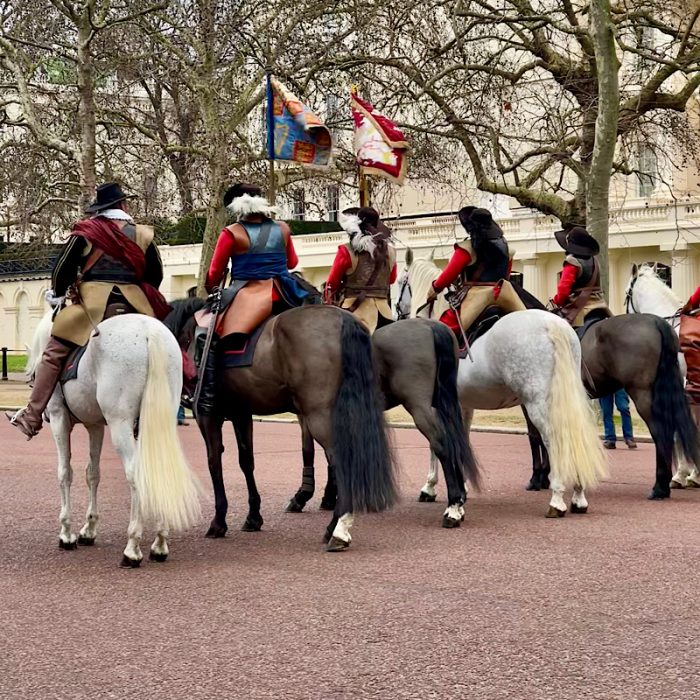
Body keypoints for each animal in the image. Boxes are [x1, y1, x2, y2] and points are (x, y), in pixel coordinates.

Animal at [26, 310, 201, 564]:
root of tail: (149, 332)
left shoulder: (59, 417)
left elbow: (65, 472)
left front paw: (66, 533)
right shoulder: (95, 425)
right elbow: (93, 473)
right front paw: (88, 529)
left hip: (120, 424)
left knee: (136, 473)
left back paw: (132, 547)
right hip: (159, 421)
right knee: (160, 469)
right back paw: (159, 542)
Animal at [165, 300, 400, 552]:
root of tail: (343, 317)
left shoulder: (207, 415)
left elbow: (213, 462)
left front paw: (218, 522)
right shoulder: (241, 412)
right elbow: (246, 461)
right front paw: (253, 516)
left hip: (319, 415)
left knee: (339, 460)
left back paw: (336, 528)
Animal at [400, 260, 608, 516]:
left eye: (400, 282)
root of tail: (553, 325)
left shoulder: (436, 405)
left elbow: (435, 442)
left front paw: (430, 487)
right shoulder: (462, 404)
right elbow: (461, 438)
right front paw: (462, 487)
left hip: (538, 403)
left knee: (553, 437)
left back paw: (556, 498)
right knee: (574, 433)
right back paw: (578, 495)